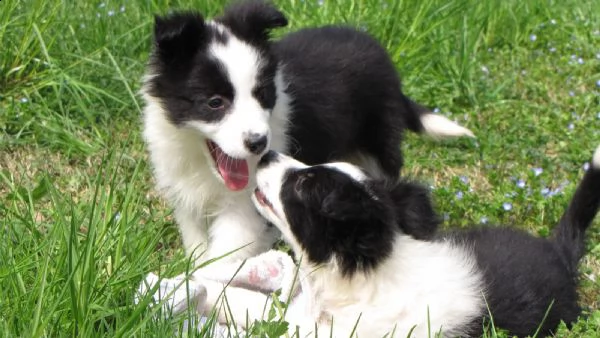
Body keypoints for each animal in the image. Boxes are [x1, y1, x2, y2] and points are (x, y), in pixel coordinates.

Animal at [141, 0, 474, 270]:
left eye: (263, 94)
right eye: (214, 103)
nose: (259, 144)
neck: (201, 160)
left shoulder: (244, 209)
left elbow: (221, 257)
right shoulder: (184, 191)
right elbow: (197, 243)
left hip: (380, 141)